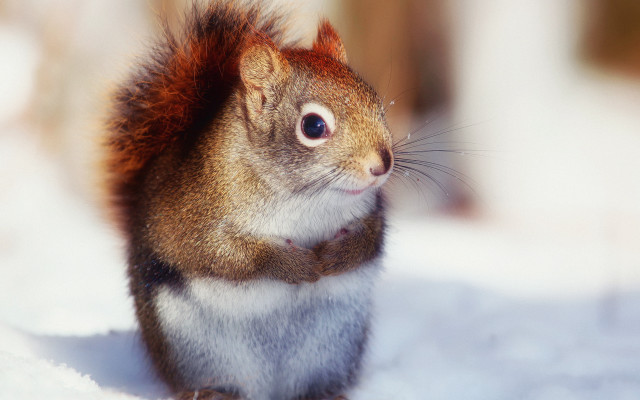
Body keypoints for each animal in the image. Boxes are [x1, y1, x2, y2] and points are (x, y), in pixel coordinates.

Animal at [104, 2, 393, 400]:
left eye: (378, 104)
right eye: (313, 126)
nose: (383, 164)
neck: (305, 198)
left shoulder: (370, 210)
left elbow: (371, 238)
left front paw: (337, 256)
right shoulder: (195, 217)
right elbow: (227, 256)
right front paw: (296, 265)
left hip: (332, 349)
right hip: (199, 353)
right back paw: (215, 392)